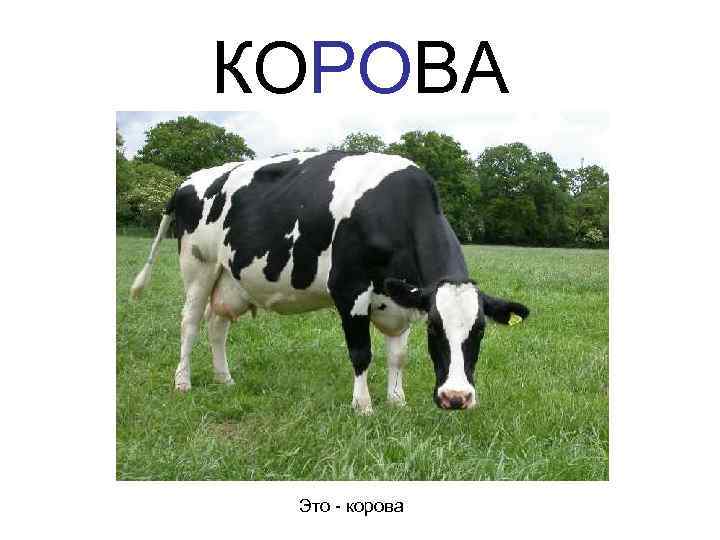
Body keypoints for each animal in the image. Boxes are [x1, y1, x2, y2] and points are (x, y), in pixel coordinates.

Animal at [130, 151, 529, 412]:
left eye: (480, 329)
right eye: (435, 328)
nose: (456, 397)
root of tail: (187, 181)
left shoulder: (403, 299)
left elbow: (398, 356)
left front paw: (397, 401)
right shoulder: (349, 290)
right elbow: (361, 352)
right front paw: (363, 406)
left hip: (231, 278)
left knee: (217, 325)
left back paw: (224, 379)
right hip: (199, 267)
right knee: (190, 323)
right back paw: (183, 382)